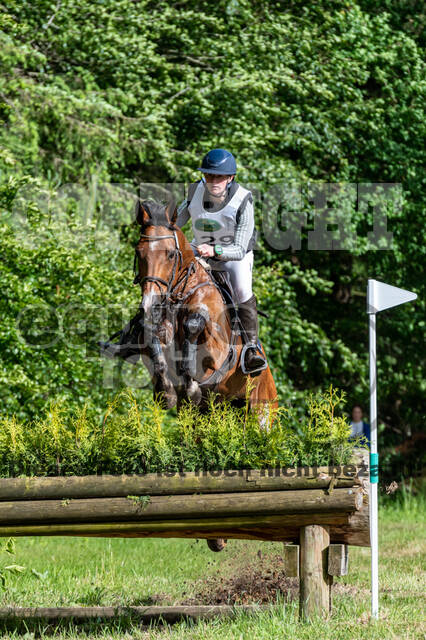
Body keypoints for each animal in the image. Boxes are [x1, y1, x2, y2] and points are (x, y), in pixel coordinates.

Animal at [131, 199, 278, 421]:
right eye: (139, 253)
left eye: (171, 254)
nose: (151, 303)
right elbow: (154, 343)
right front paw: (165, 392)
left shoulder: (218, 352)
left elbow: (193, 325)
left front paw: (191, 387)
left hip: (262, 412)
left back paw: (254, 359)